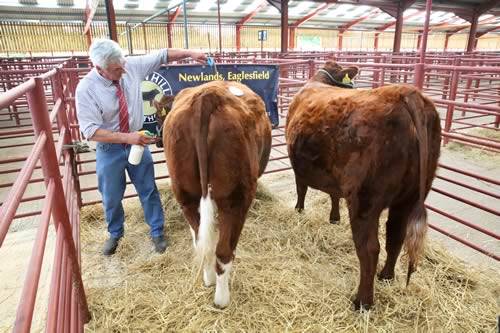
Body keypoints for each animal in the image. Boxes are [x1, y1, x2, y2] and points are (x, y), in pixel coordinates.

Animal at [162, 80, 272, 306]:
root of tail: (207, 97)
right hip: (235, 197)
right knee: (223, 251)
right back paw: (222, 300)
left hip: (186, 194)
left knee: (203, 244)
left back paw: (208, 280)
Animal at [286, 60, 442, 308]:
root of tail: (406, 93)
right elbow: (333, 195)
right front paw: (334, 218)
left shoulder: (299, 166)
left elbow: (302, 188)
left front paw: (299, 210)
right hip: (410, 197)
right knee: (395, 236)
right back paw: (386, 276)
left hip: (365, 200)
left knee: (369, 249)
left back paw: (362, 302)